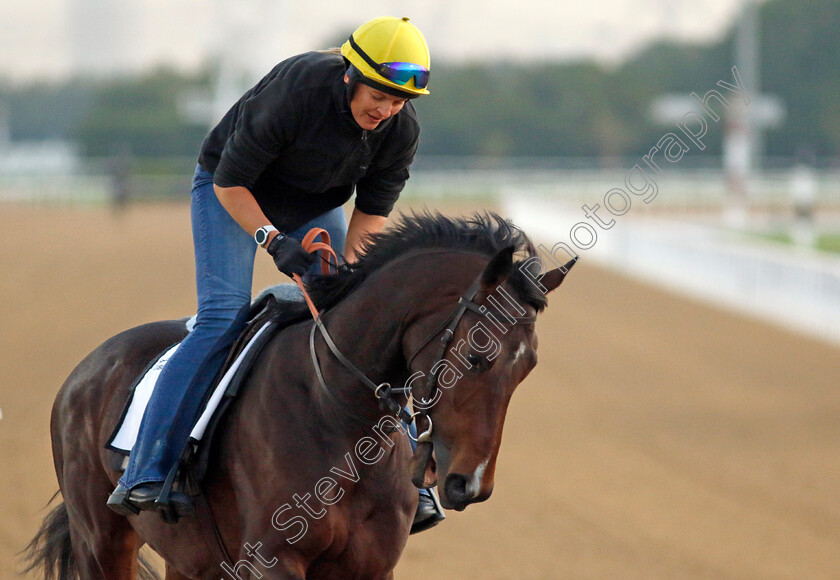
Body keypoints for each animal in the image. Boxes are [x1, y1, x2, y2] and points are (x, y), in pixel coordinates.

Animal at [24, 213, 576, 580]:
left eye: (527, 367)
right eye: (479, 355)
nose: (470, 483)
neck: (337, 414)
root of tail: (84, 372)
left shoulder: (369, 566)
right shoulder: (273, 560)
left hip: (188, 557)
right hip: (101, 541)